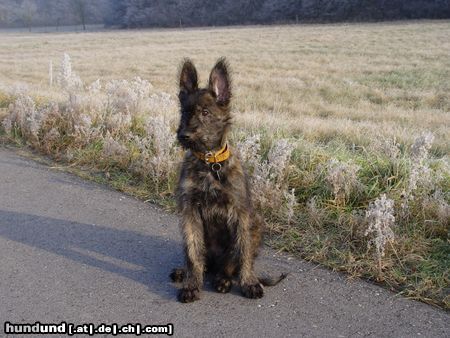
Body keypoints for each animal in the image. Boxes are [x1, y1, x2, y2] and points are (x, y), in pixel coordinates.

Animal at [169, 56, 284, 302]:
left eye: (205, 112)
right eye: (184, 111)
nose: (184, 135)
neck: (209, 163)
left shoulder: (240, 213)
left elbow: (243, 253)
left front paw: (249, 283)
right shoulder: (189, 211)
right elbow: (193, 253)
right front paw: (192, 285)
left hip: (257, 224)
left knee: (230, 265)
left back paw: (224, 280)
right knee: (203, 263)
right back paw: (185, 272)